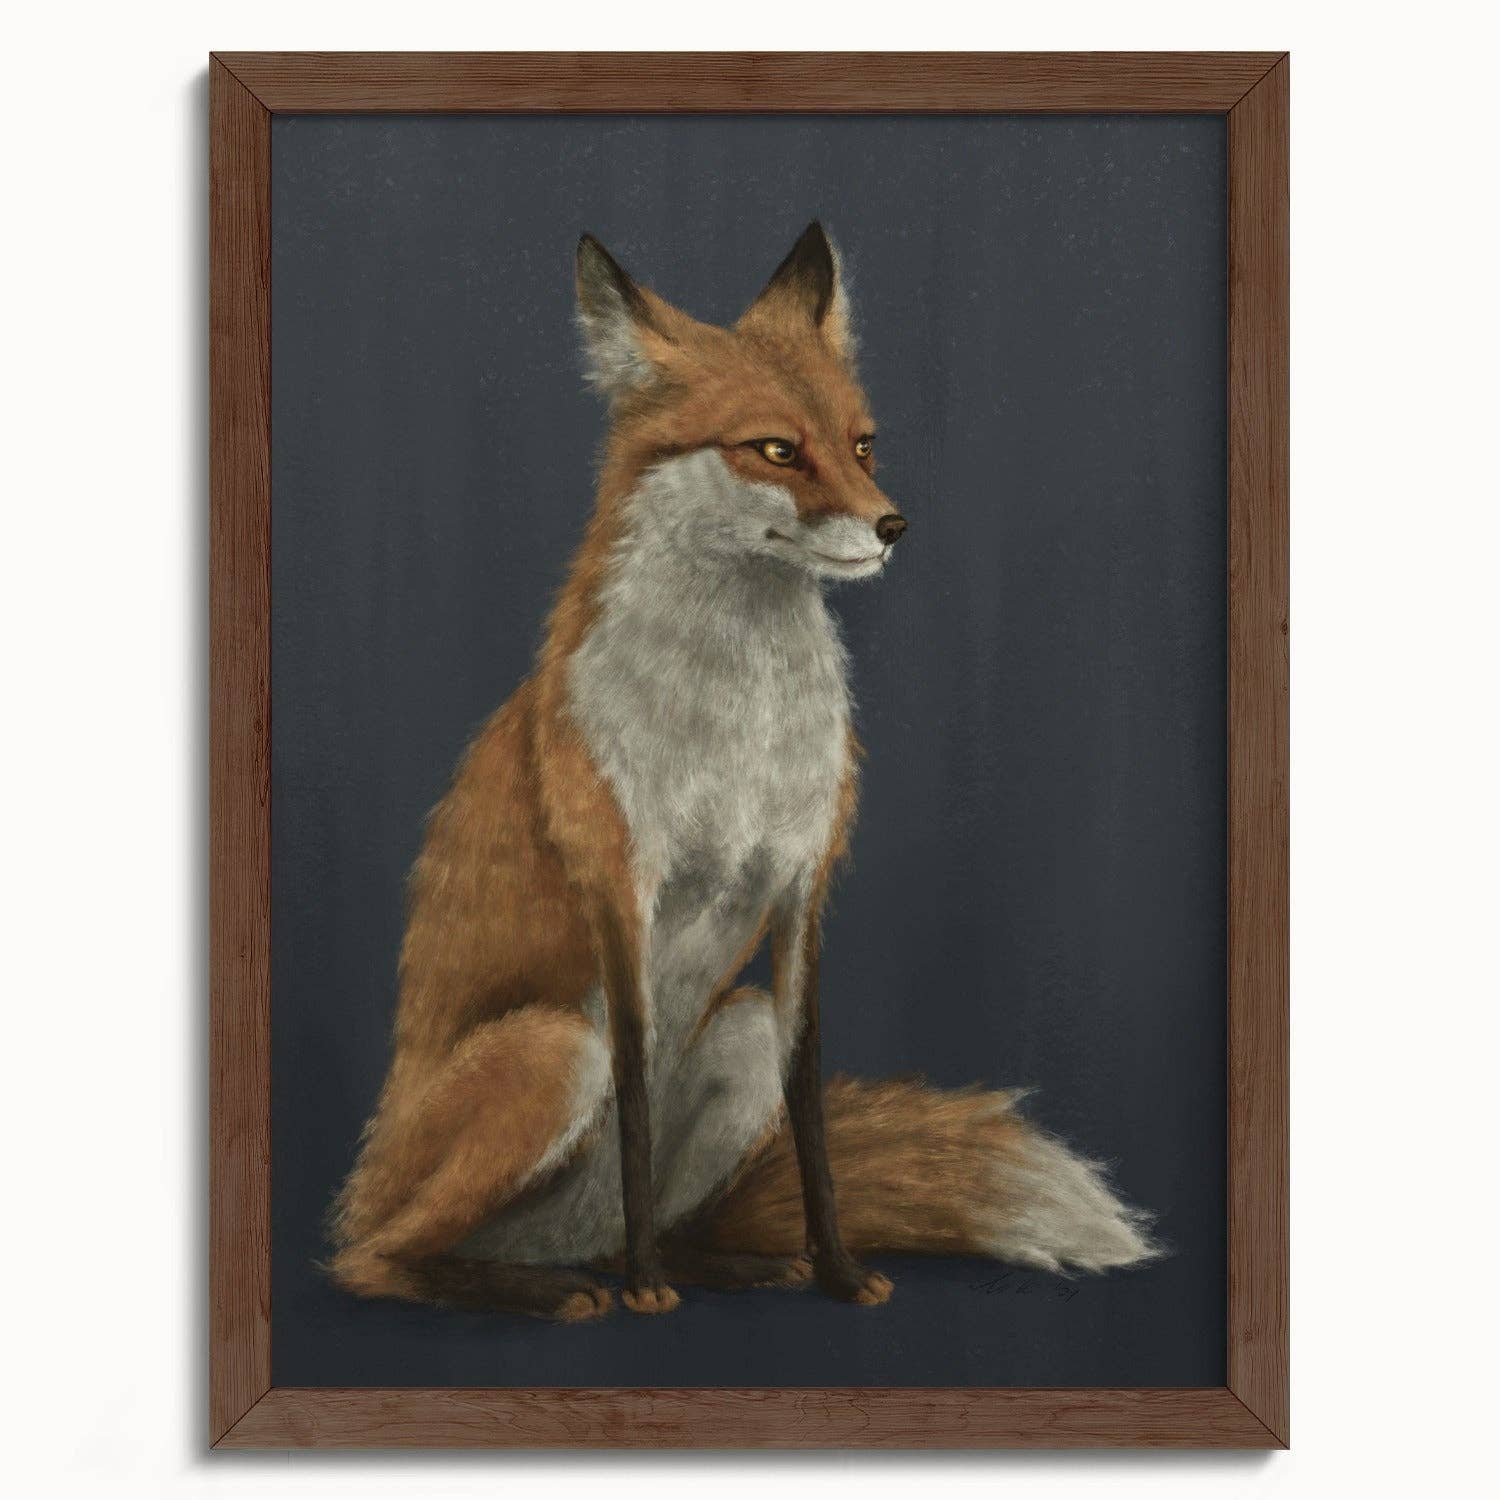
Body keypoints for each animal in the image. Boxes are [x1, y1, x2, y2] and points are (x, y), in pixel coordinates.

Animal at [327, 222, 1158, 1322]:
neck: (741, 730)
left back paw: (721, 1263)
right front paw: (646, 1292)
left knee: (646, 1216)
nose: (894, 526)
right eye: (775, 449)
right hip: (551, 1051)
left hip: (738, 1032)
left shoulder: (803, 886)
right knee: (375, 1259)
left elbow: (810, 1112)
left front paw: (838, 1271)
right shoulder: (621, 888)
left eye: (862, 444)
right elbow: (637, 1097)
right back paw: (559, 1287)